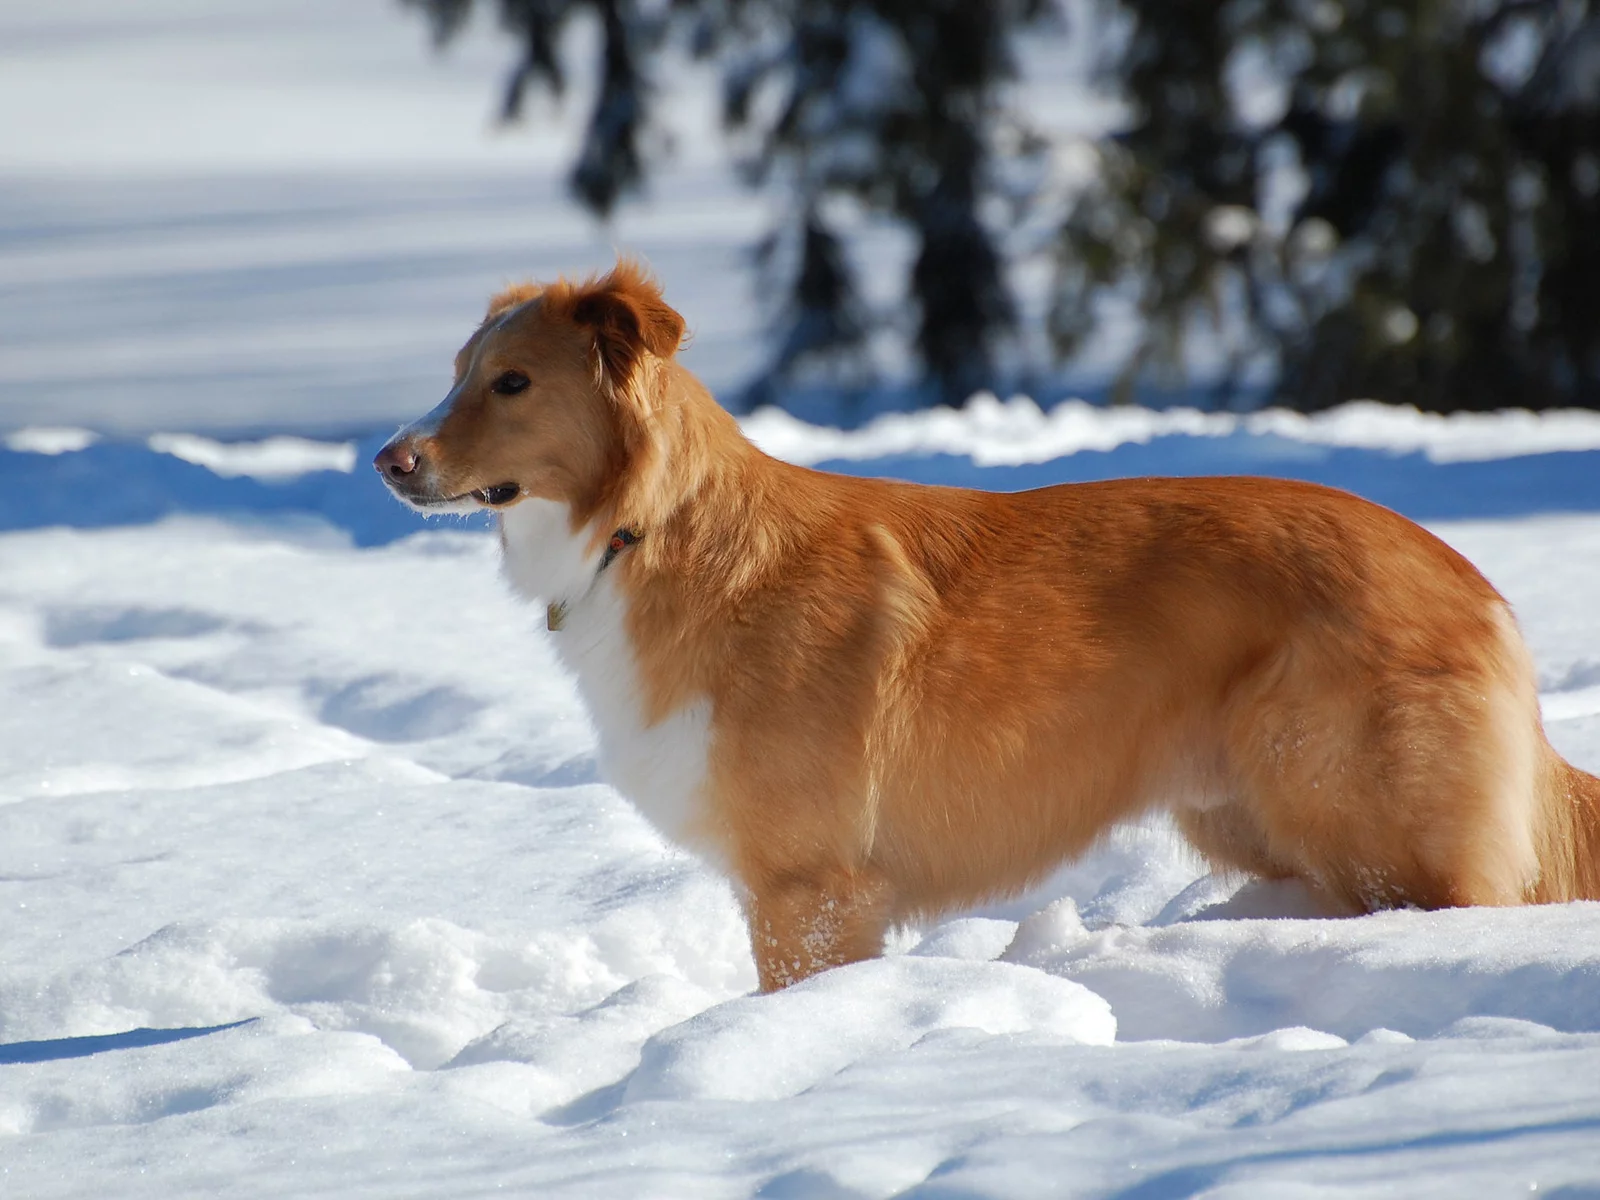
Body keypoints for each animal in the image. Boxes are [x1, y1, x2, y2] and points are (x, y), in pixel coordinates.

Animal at [377, 259, 1600, 992]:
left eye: (513, 383)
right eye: (458, 375)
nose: (389, 461)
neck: (649, 528)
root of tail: (1469, 579)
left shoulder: (810, 888)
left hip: (1366, 821)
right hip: (1257, 818)